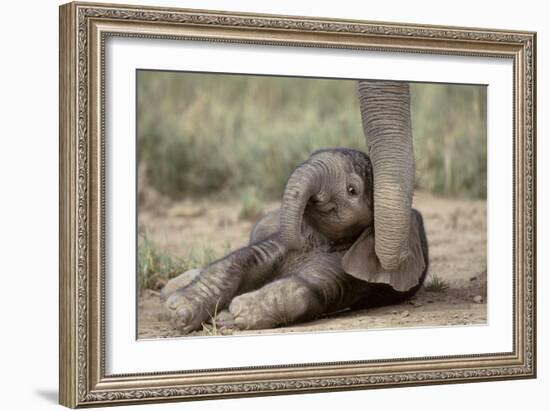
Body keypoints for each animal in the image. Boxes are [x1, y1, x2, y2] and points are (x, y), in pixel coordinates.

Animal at [162, 148, 430, 334]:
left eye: (352, 190)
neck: (321, 239)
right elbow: (239, 261)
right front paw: (178, 310)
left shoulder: (348, 270)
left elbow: (305, 288)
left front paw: (235, 313)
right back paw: (168, 291)